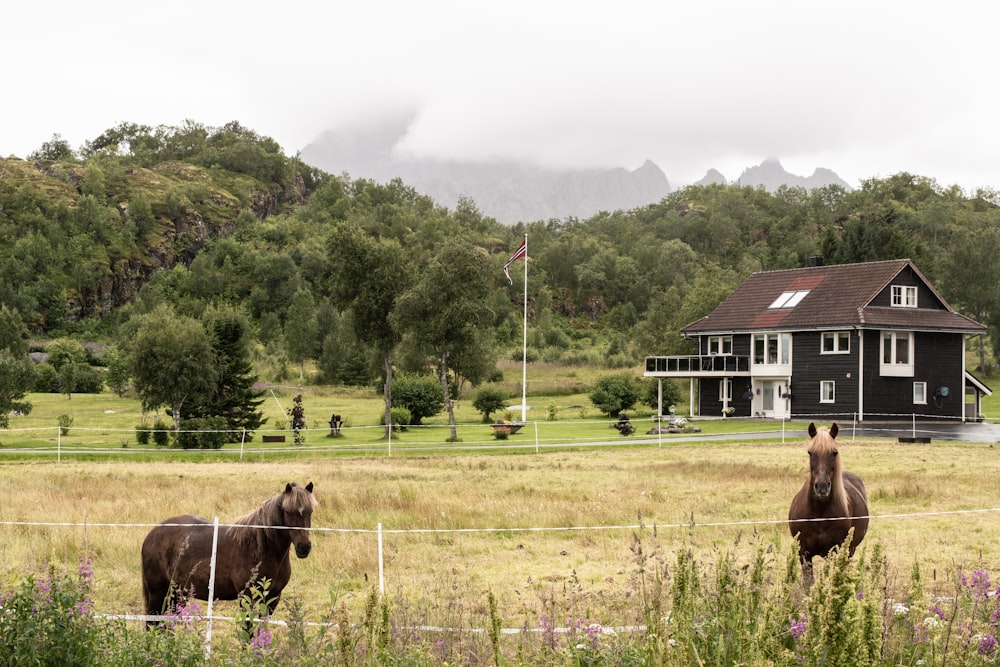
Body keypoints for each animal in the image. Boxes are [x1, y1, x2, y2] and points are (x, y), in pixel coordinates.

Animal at [141, 480, 316, 628]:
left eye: (310, 511)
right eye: (288, 511)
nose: (304, 547)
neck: (260, 549)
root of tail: (152, 534)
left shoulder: (272, 599)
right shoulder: (248, 598)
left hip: (178, 594)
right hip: (158, 592)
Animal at [788, 426, 868, 588]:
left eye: (834, 452)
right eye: (810, 452)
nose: (822, 487)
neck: (819, 513)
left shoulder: (833, 552)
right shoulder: (803, 552)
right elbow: (808, 583)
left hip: (849, 550)